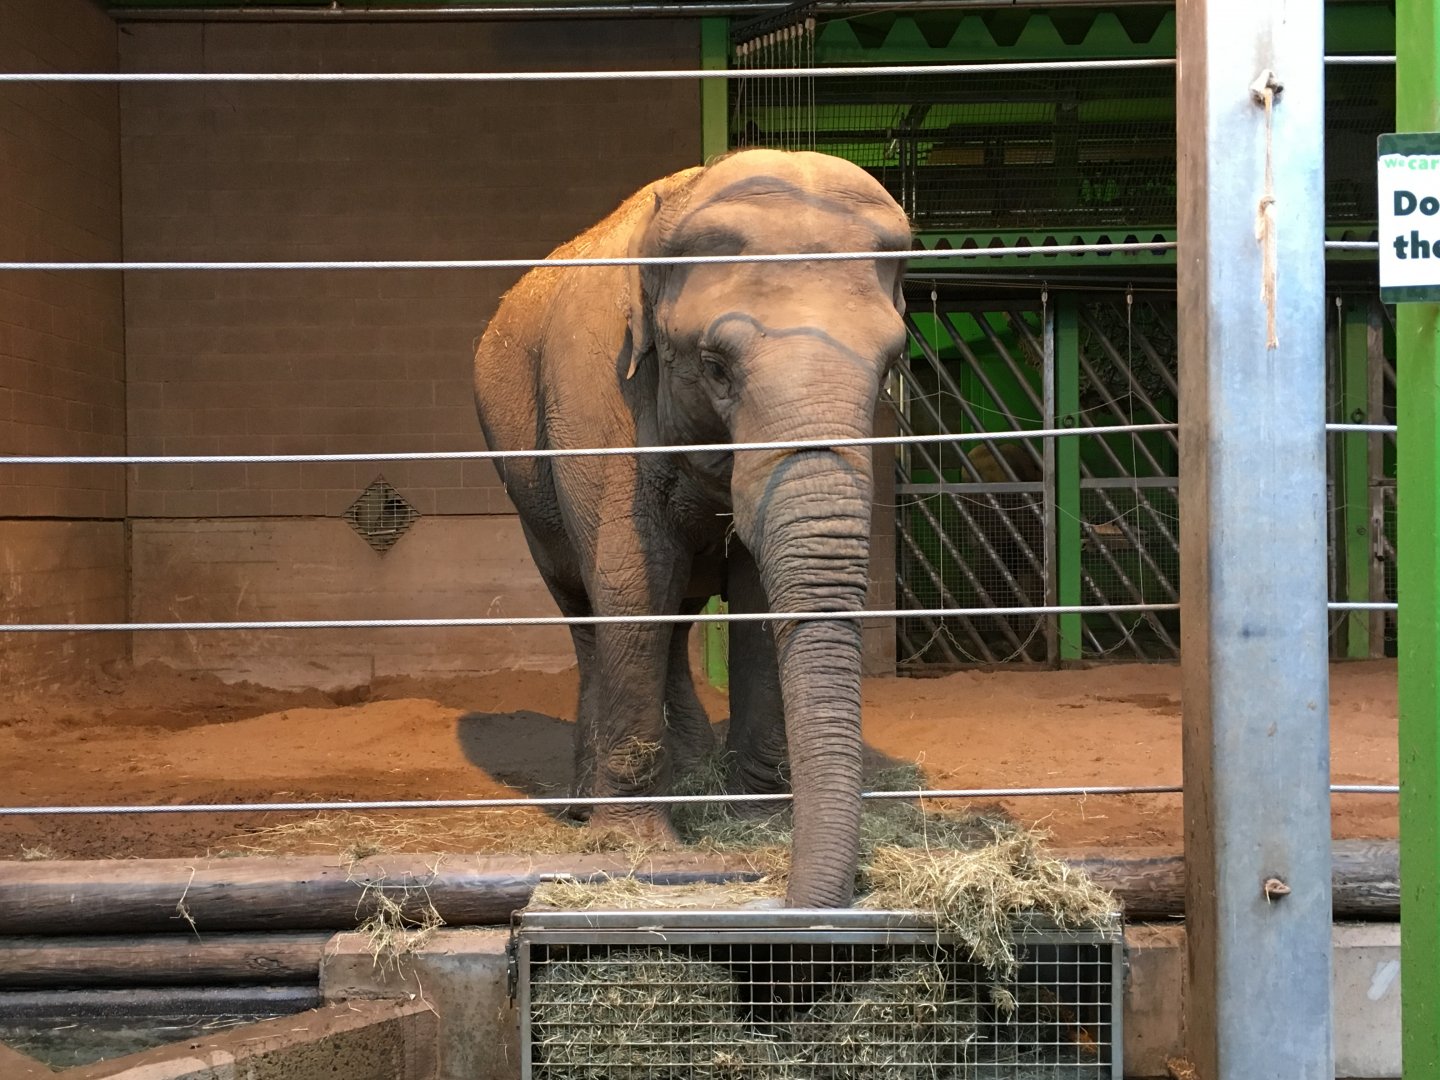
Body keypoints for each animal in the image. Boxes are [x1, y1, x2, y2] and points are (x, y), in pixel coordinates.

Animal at [472, 148, 911, 908]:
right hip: (526, 489)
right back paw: (588, 807)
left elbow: (755, 598)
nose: (794, 903)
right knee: (589, 611)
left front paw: (757, 820)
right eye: (715, 367)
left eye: (890, 365)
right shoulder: (597, 396)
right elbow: (631, 583)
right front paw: (636, 848)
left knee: (674, 619)